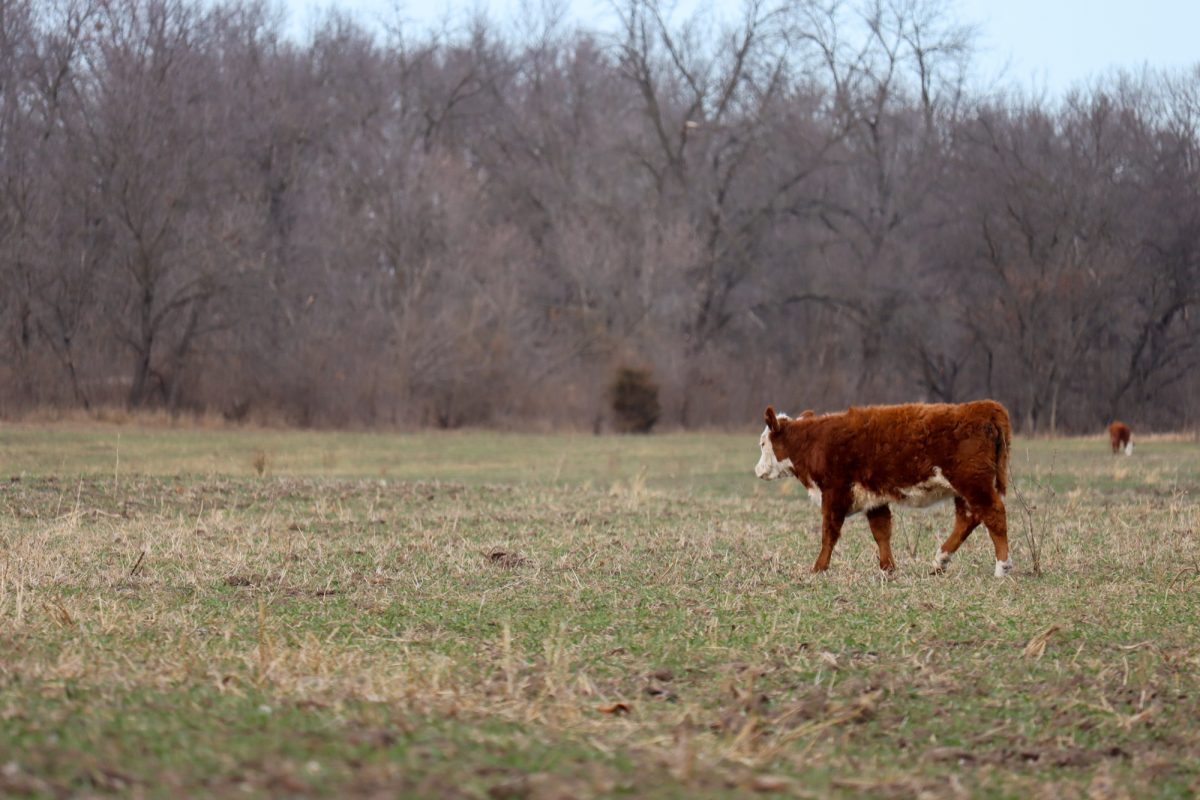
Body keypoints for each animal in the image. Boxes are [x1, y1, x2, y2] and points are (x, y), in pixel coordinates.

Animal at [758, 402, 1012, 578]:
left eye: (762, 443)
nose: (757, 470)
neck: (814, 442)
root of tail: (984, 406)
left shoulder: (833, 493)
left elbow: (829, 533)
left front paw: (819, 567)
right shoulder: (874, 498)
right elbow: (881, 531)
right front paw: (887, 567)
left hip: (973, 484)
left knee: (994, 514)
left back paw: (1002, 567)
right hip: (964, 490)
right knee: (967, 519)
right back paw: (940, 560)